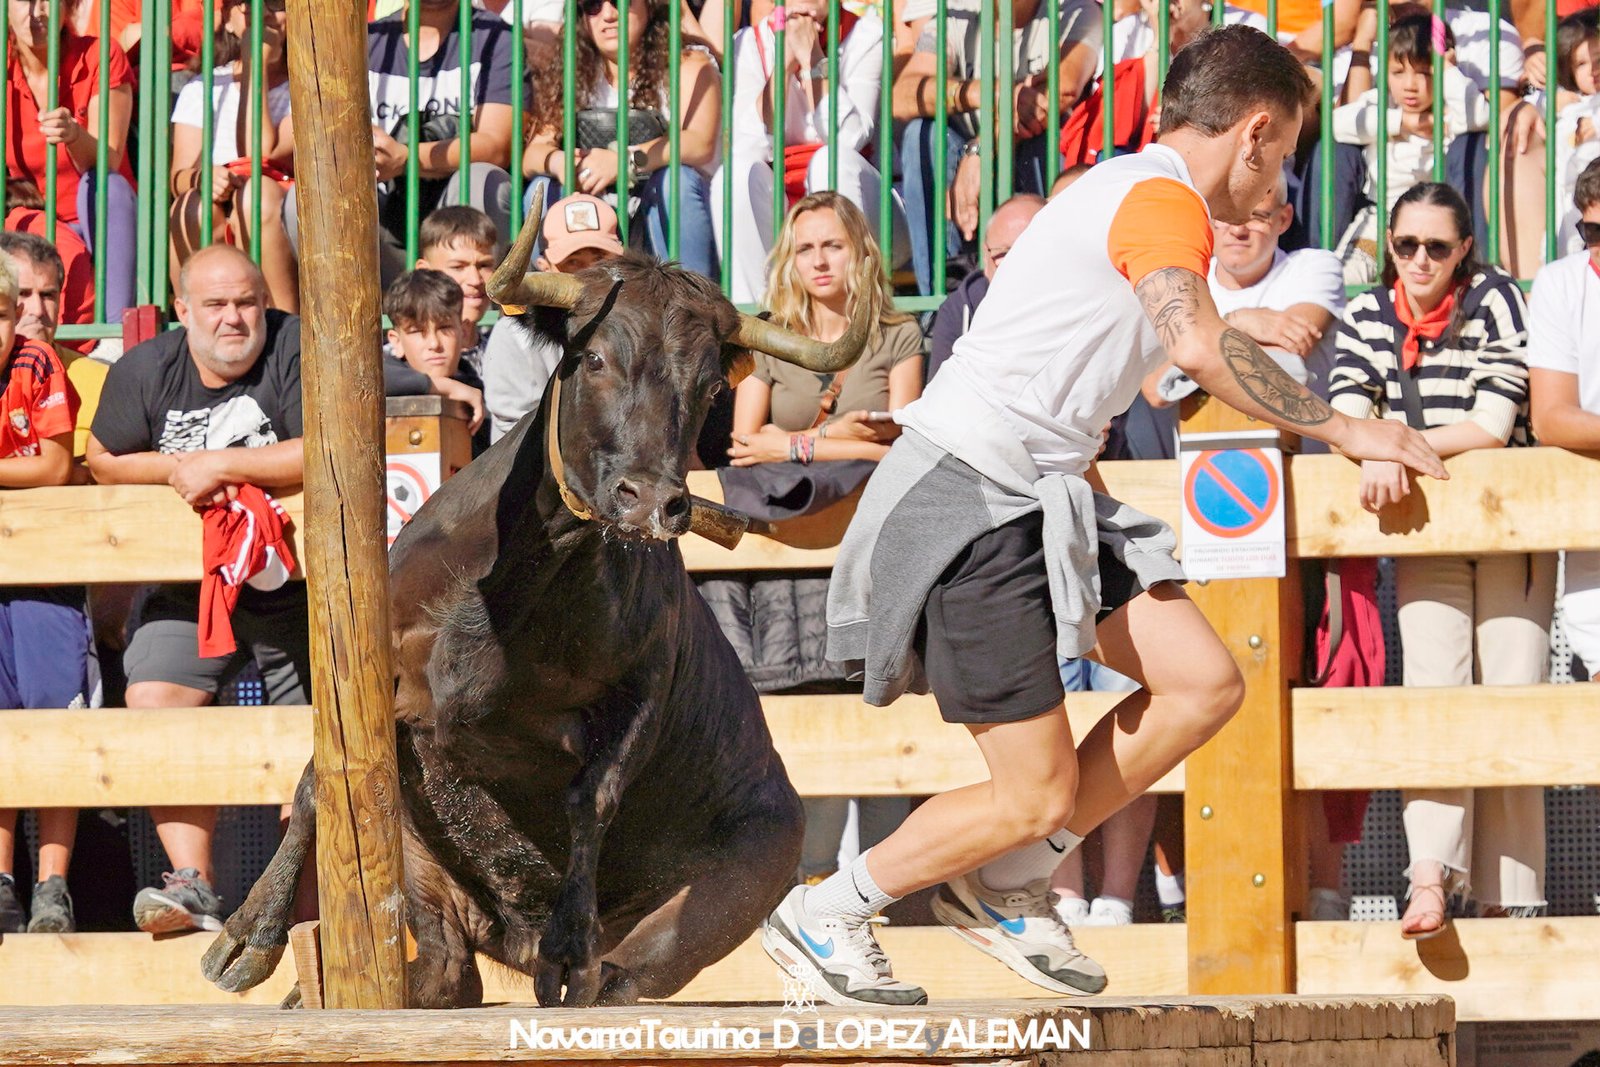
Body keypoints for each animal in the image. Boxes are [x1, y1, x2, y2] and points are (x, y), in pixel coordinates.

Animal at [201, 214, 876, 1004]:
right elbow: (320, 778)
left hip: (711, 909)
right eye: (595, 360)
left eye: (711, 385)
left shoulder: (644, 687)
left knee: (614, 976)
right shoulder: (374, 674)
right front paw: (250, 932)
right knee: (443, 964)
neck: (513, 592)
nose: (651, 500)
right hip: (425, 875)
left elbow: (594, 798)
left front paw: (569, 942)